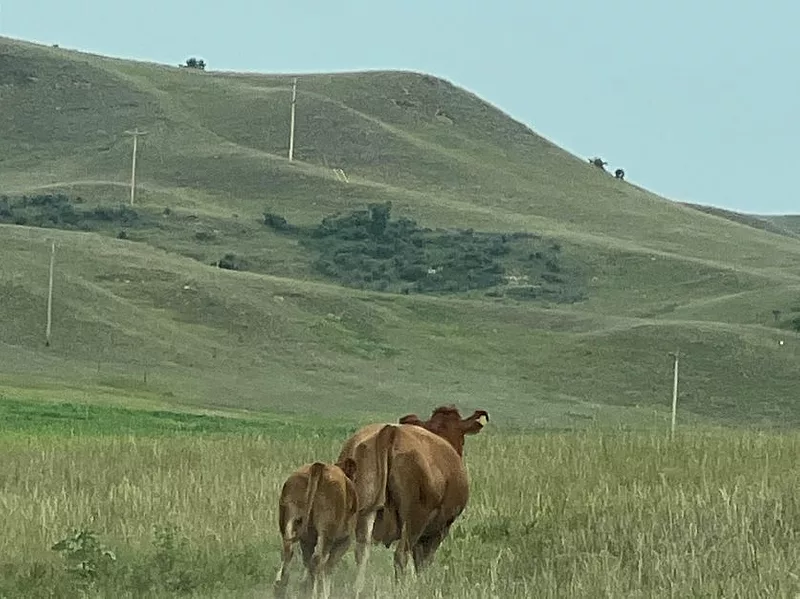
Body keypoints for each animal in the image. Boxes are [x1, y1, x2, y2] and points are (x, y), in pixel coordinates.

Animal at [273, 458, 359, 599]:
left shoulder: (307, 540)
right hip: (327, 530)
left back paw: (280, 588)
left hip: (290, 518)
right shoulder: (344, 540)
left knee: (288, 552)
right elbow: (328, 567)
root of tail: (319, 467)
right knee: (318, 560)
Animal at [337, 405, 489, 596]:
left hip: (364, 513)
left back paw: (358, 589)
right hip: (414, 519)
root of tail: (391, 431)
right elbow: (423, 561)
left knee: (361, 553)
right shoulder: (440, 528)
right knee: (401, 555)